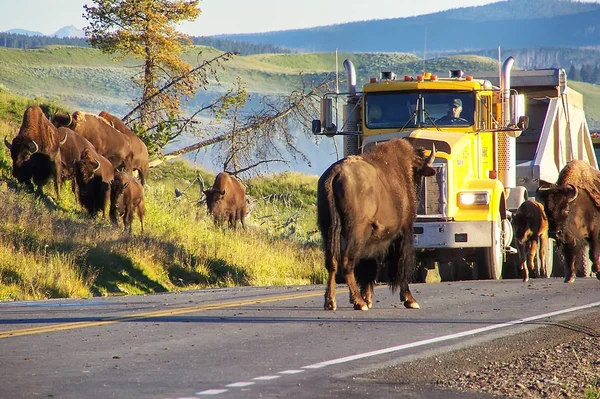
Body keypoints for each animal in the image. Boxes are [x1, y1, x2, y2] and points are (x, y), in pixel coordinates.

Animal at [318, 140, 436, 312]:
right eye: (418, 174)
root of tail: (335, 173)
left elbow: (369, 267)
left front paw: (368, 299)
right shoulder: (404, 232)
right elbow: (401, 266)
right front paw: (410, 300)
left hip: (328, 230)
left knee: (332, 262)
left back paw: (331, 302)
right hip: (355, 232)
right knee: (347, 261)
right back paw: (358, 302)